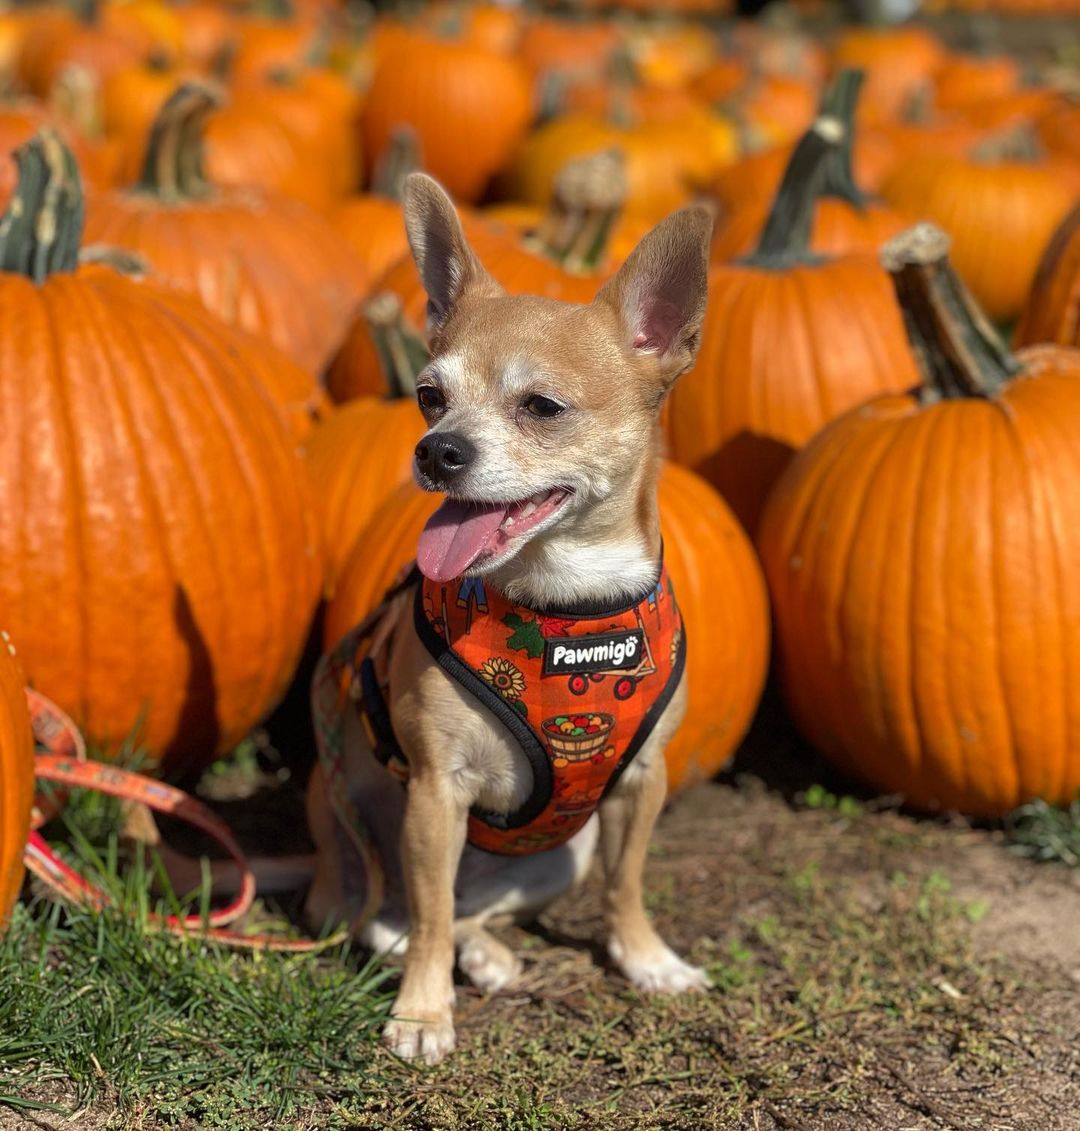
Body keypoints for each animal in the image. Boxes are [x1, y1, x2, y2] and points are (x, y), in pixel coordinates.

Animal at [303, 171, 714, 1063]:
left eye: (543, 407)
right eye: (428, 398)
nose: (437, 450)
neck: (563, 608)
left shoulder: (643, 783)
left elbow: (627, 882)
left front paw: (646, 957)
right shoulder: (435, 793)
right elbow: (425, 925)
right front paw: (423, 1015)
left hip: (560, 857)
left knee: (470, 911)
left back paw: (491, 950)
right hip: (356, 865)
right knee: (407, 915)